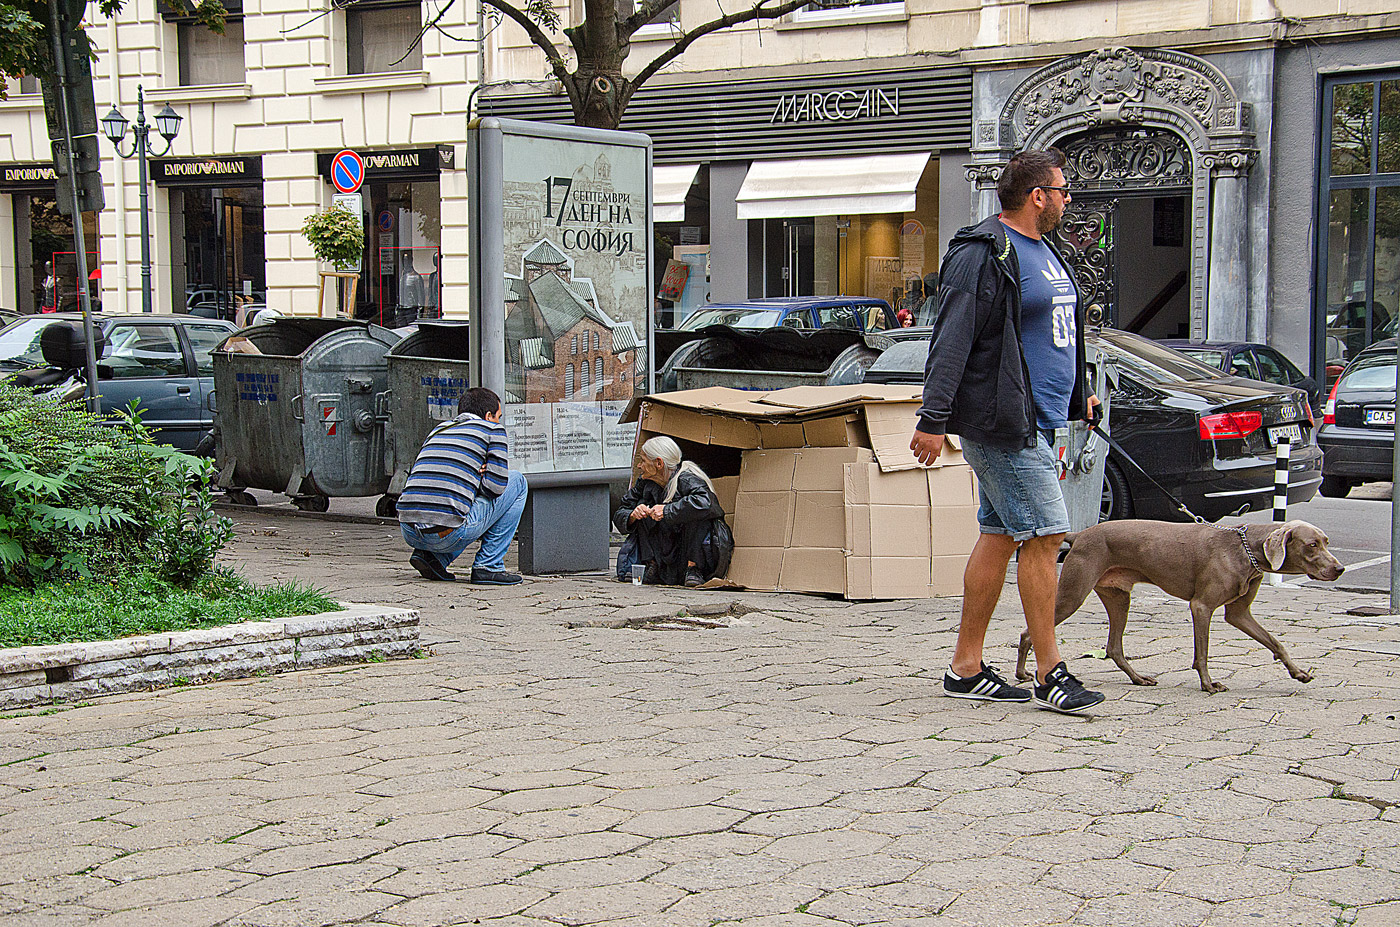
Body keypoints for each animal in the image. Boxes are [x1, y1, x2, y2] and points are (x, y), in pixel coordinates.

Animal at [1019, 518, 1344, 694]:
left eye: (1327, 541)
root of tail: (1080, 534)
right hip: (1074, 593)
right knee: (1028, 632)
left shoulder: (1239, 614)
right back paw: (1023, 674)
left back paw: (1138, 678)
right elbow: (1203, 653)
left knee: (1114, 648)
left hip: (1118, 597)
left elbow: (1276, 642)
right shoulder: (1201, 607)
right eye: (1312, 545)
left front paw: (1298, 672)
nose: (1339, 569)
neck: (1245, 548)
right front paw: (1209, 684)